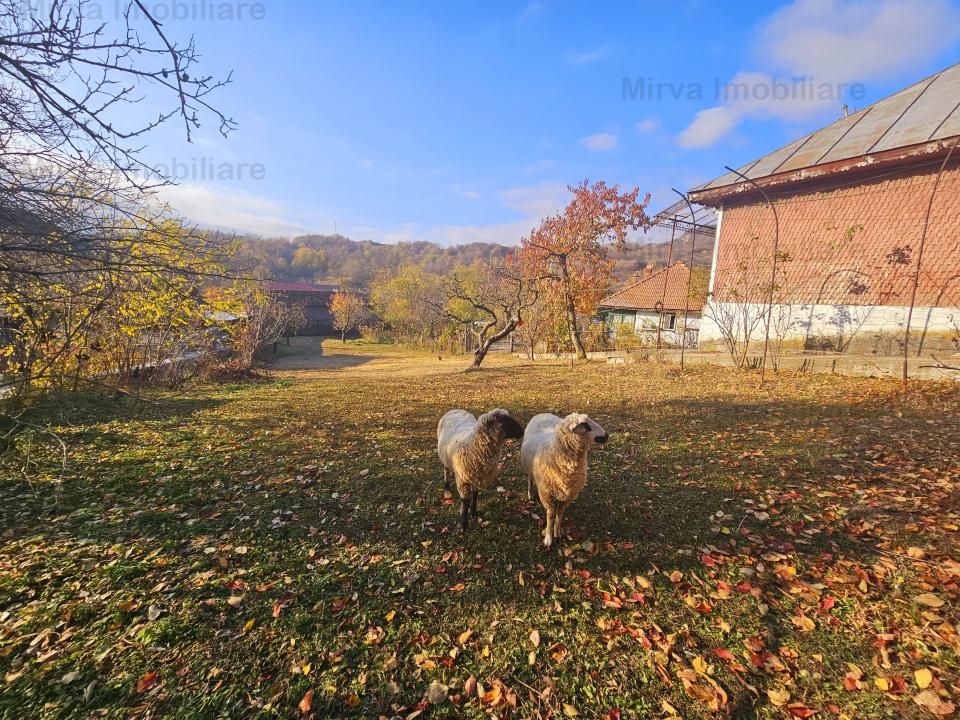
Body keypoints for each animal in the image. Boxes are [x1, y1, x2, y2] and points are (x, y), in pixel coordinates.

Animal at [520, 414, 612, 548]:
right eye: (585, 425)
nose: (606, 435)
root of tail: (543, 414)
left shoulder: (568, 496)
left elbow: (559, 514)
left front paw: (557, 533)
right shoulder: (546, 493)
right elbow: (551, 515)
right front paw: (548, 538)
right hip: (529, 468)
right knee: (530, 479)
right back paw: (530, 494)